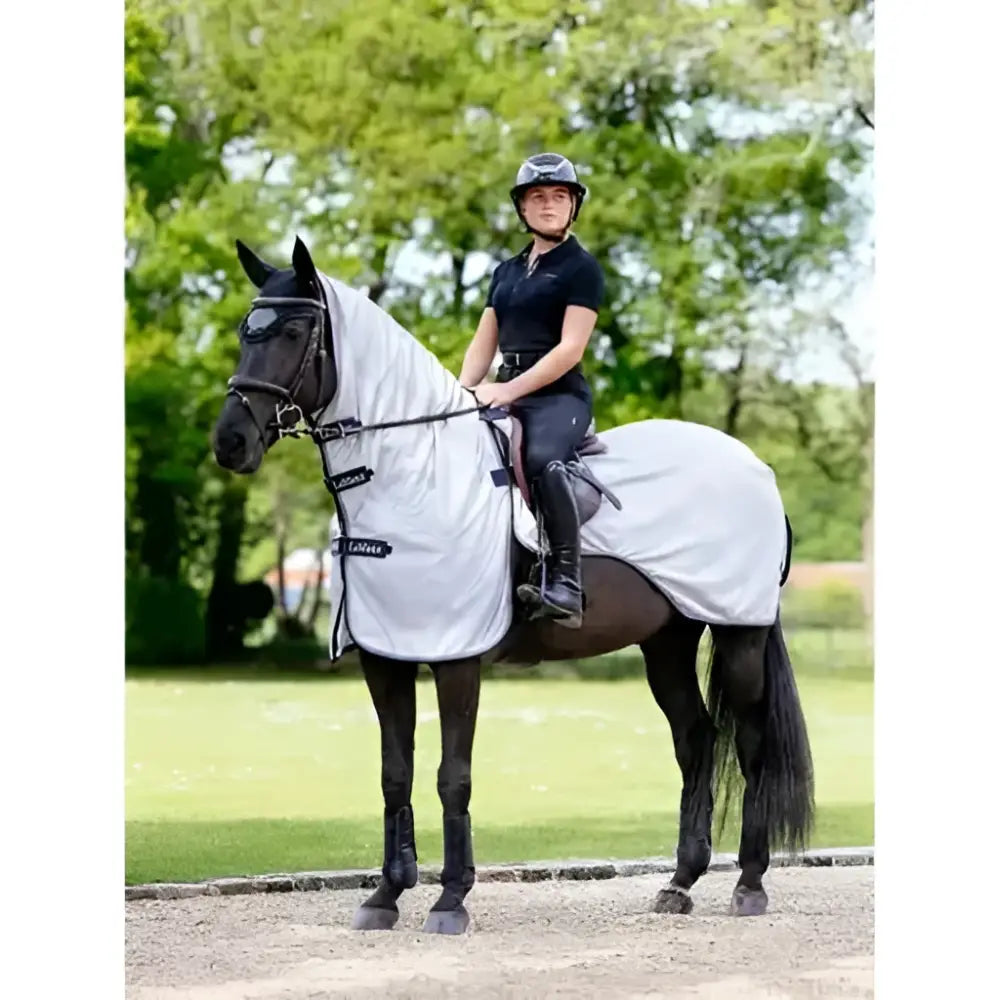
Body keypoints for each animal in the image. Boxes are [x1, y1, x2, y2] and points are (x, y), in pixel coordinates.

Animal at [212, 236, 814, 935]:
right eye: (244, 331)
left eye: (293, 331)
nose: (230, 442)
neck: (411, 474)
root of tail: (756, 468)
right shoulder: (386, 658)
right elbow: (395, 773)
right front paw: (385, 896)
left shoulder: (457, 659)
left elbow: (453, 776)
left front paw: (450, 900)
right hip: (667, 641)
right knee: (695, 741)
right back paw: (680, 883)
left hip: (740, 631)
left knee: (750, 743)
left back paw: (749, 884)